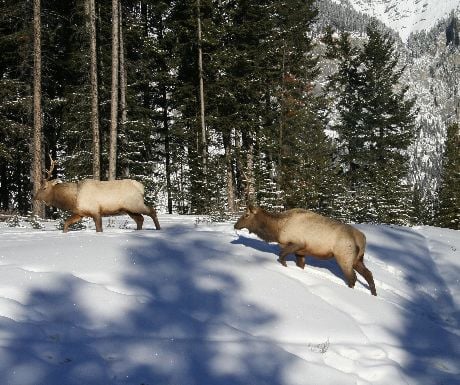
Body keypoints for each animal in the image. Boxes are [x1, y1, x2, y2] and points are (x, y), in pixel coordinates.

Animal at [235, 206, 376, 296]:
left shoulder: (297, 243)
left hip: (344, 257)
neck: (277, 229)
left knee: (352, 277)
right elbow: (300, 265)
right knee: (368, 274)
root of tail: (362, 239)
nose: (235, 225)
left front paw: (285, 267)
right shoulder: (301, 252)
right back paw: (374, 294)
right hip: (358, 259)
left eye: (246, 215)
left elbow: (281, 256)